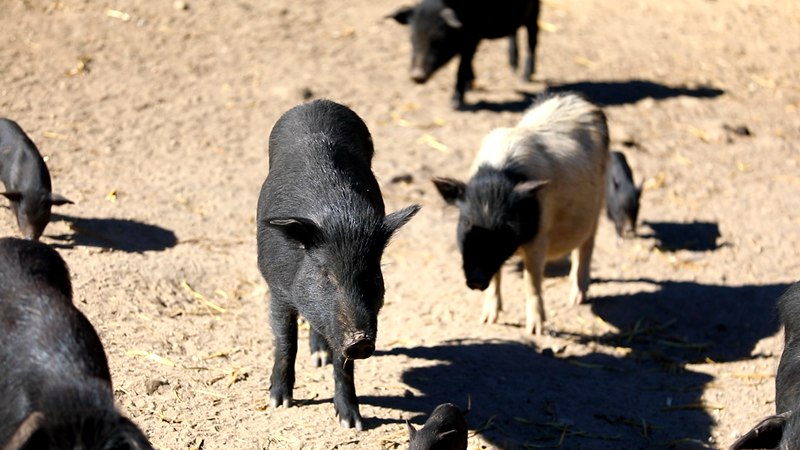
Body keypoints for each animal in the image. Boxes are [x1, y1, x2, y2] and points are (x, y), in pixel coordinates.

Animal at [256, 98, 422, 428]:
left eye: (370, 276)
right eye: (325, 274)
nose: (360, 340)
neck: (338, 217)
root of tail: (317, 103)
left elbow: (343, 365)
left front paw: (353, 423)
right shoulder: (277, 287)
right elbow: (285, 340)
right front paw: (279, 403)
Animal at [390, 0, 540, 109]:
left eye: (438, 39)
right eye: (412, 37)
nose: (416, 75)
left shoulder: (473, 38)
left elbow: (461, 68)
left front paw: (455, 104)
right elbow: (468, 63)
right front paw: (469, 86)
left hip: (535, 10)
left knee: (532, 40)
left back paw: (524, 78)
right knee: (513, 32)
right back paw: (513, 68)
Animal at [434, 93, 608, 336]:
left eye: (506, 228)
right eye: (467, 223)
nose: (476, 280)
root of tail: (576, 98)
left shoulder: (540, 237)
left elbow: (531, 281)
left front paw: (535, 331)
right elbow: (496, 277)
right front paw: (487, 320)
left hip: (598, 200)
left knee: (586, 245)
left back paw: (577, 299)